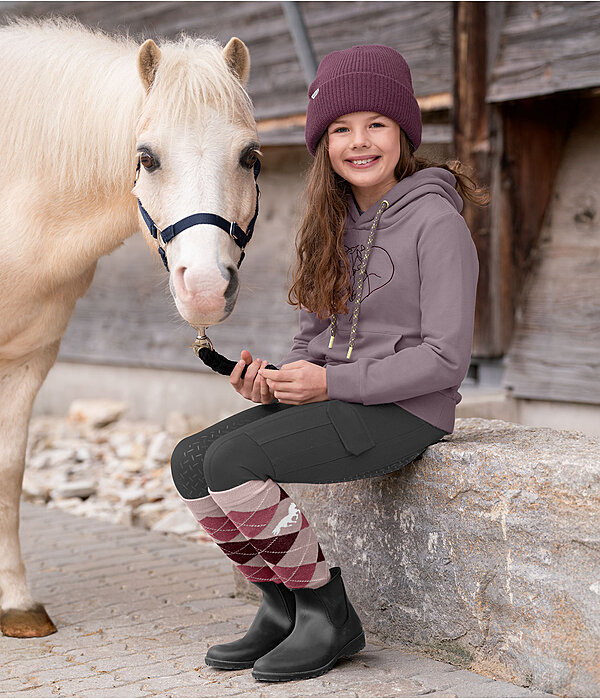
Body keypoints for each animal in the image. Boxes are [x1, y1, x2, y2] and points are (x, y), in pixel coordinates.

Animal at [0, 16, 260, 640]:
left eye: (248, 156)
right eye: (147, 158)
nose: (206, 287)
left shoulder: (29, 359)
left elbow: (9, 468)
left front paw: (14, 603)